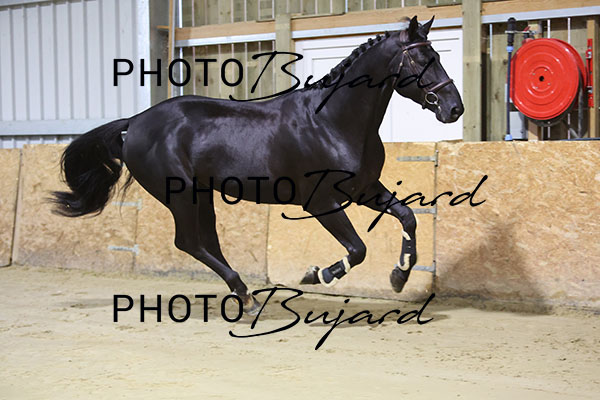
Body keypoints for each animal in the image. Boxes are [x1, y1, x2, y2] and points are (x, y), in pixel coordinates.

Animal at [51, 16, 463, 315]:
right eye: (423, 59)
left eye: (438, 56)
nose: (453, 108)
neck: (332, 122)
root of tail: (134, 122)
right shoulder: (320, 202)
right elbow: (358, 249)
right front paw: (317, 275)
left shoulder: (363, 189)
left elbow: (407, 217)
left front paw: (398, 277)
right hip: (180, 195)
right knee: (189, 242)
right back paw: (245, 296)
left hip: (202, 195)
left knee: (207, 241)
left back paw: (244, 294)